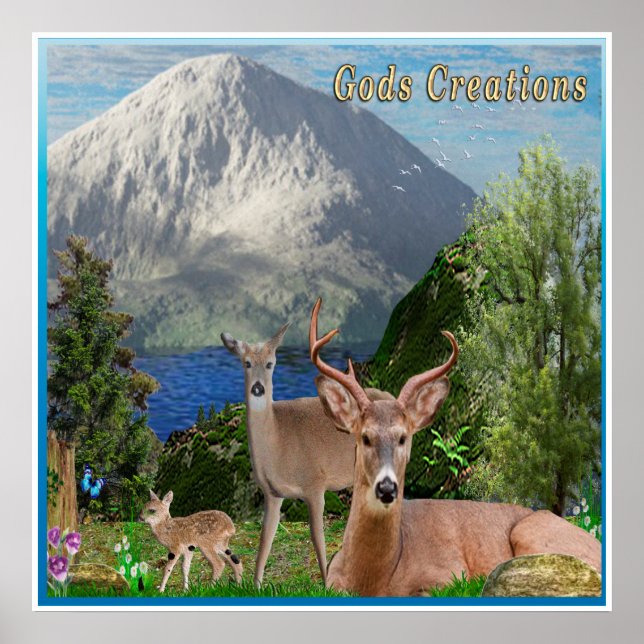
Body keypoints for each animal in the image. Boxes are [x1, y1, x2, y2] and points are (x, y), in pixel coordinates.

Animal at [221, 323, 394, 587]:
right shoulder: (272, 493)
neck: (278, 444)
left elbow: (316, 536)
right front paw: (256, 584)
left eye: (271, 363)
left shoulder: (315, 483)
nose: (258, 388)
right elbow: (265, 537)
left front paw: (326, 584)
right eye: (246, 362)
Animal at [309, 298, 602, 597]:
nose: (387, 488)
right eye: (365, 437)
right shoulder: (331, 581)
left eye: (403, 437)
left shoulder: (448, 572)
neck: (373, 577)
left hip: (531, 533)